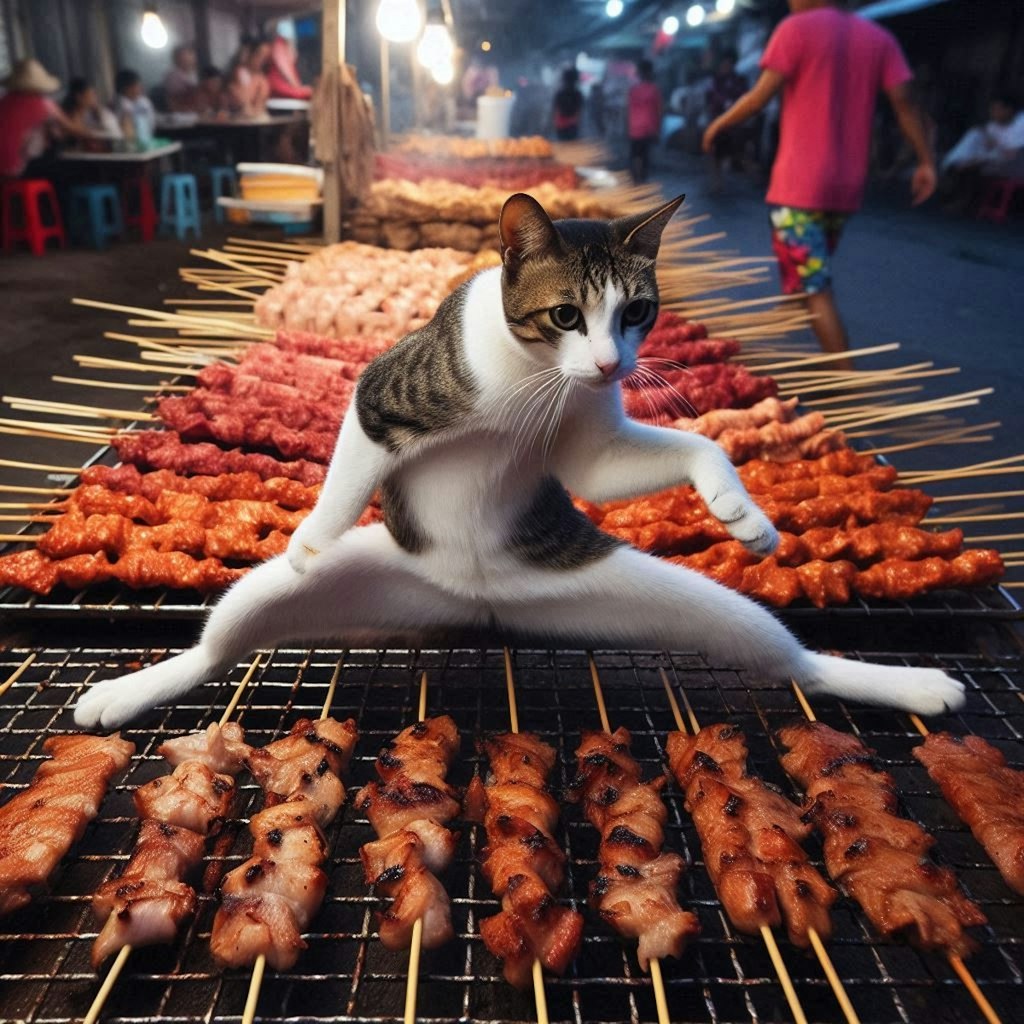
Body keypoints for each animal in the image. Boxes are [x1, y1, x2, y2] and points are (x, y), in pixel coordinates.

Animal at [75, 192, 962, 733]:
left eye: (637, 313)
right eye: (566, 314)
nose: (609, 364)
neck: (539, 378)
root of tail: (477, 604)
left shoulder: (591, 447)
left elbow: (700, 444)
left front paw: (743, 513)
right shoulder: (379, 395)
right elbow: (343, 481)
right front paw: (309, 538)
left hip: (686, 600)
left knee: (798, 662)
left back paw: (906, 684)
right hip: (280, 595)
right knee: (213, 649)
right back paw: (125, 691)